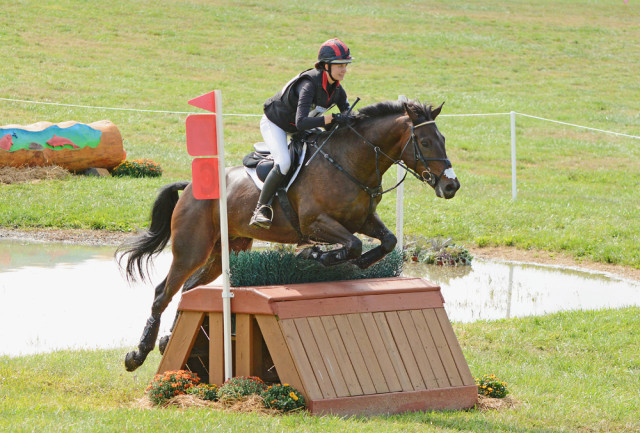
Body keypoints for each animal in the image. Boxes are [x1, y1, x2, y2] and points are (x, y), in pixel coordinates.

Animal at [119, 99, 460, 370]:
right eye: (425, 142)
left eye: (443, 138)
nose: (451, 186)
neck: (350, 161)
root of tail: (189, 186)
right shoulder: (315, 222)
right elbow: (350, 245)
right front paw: (313, 254)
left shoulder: (362, 219)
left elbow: (386, 241)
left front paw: (357, 264)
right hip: (192, 248)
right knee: (163, 292)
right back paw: (138, 353)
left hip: (225, 250)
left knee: (190, 289)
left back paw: (167, 340)